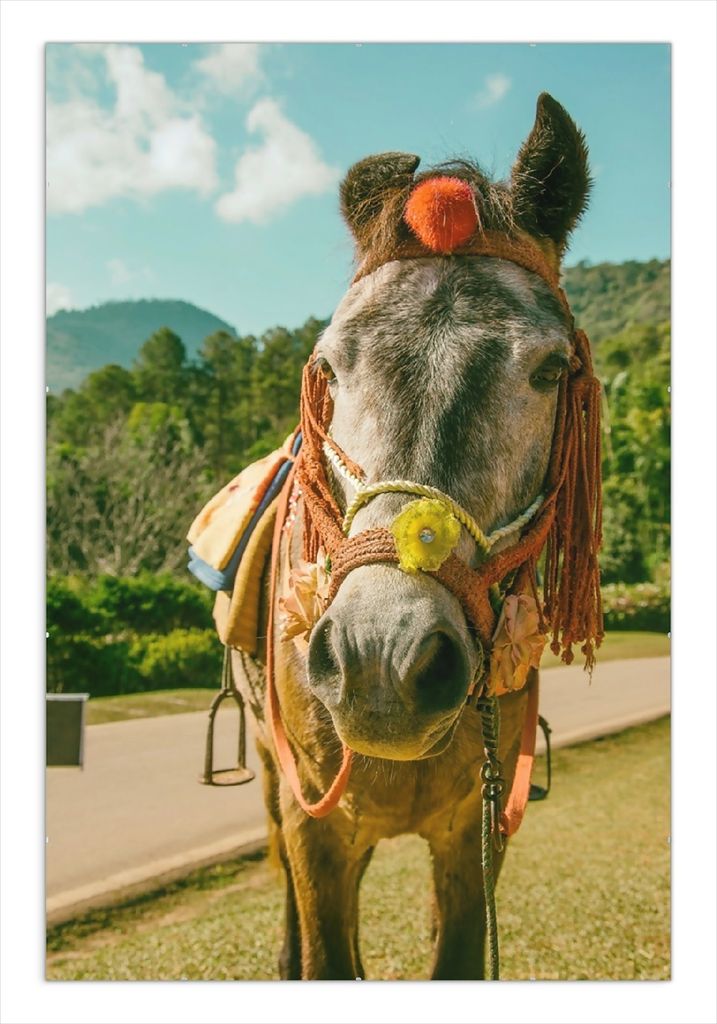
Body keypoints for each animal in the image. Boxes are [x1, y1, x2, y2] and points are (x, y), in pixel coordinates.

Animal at [232, 92, 602, 980]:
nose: (381, 660)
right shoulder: (313, 821)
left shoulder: (475, 830)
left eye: (548, 370)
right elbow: (323, 945)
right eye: (328, 368)